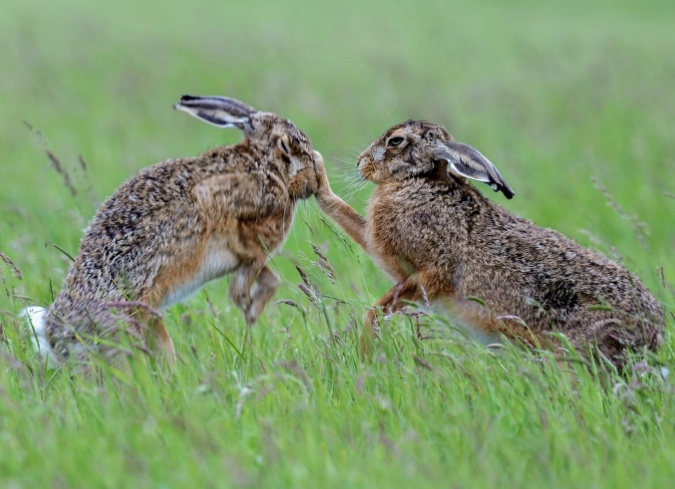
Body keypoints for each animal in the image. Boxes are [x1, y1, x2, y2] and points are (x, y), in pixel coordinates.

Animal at [24, 95, 323, 366]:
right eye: (286, 145)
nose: (313, 183)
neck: (263, 163)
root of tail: (55, 335)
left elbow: (269, 276)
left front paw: (251, 309)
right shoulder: (225, 205)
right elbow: (250, 259)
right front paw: (246, 305)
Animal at [315, 119, 665, 370]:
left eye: (395, 141)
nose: (360, 163)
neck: (420, 181)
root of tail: (654, 335)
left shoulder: (432, 273)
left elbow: (377, 309)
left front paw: (365, 352)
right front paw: (317, 178)